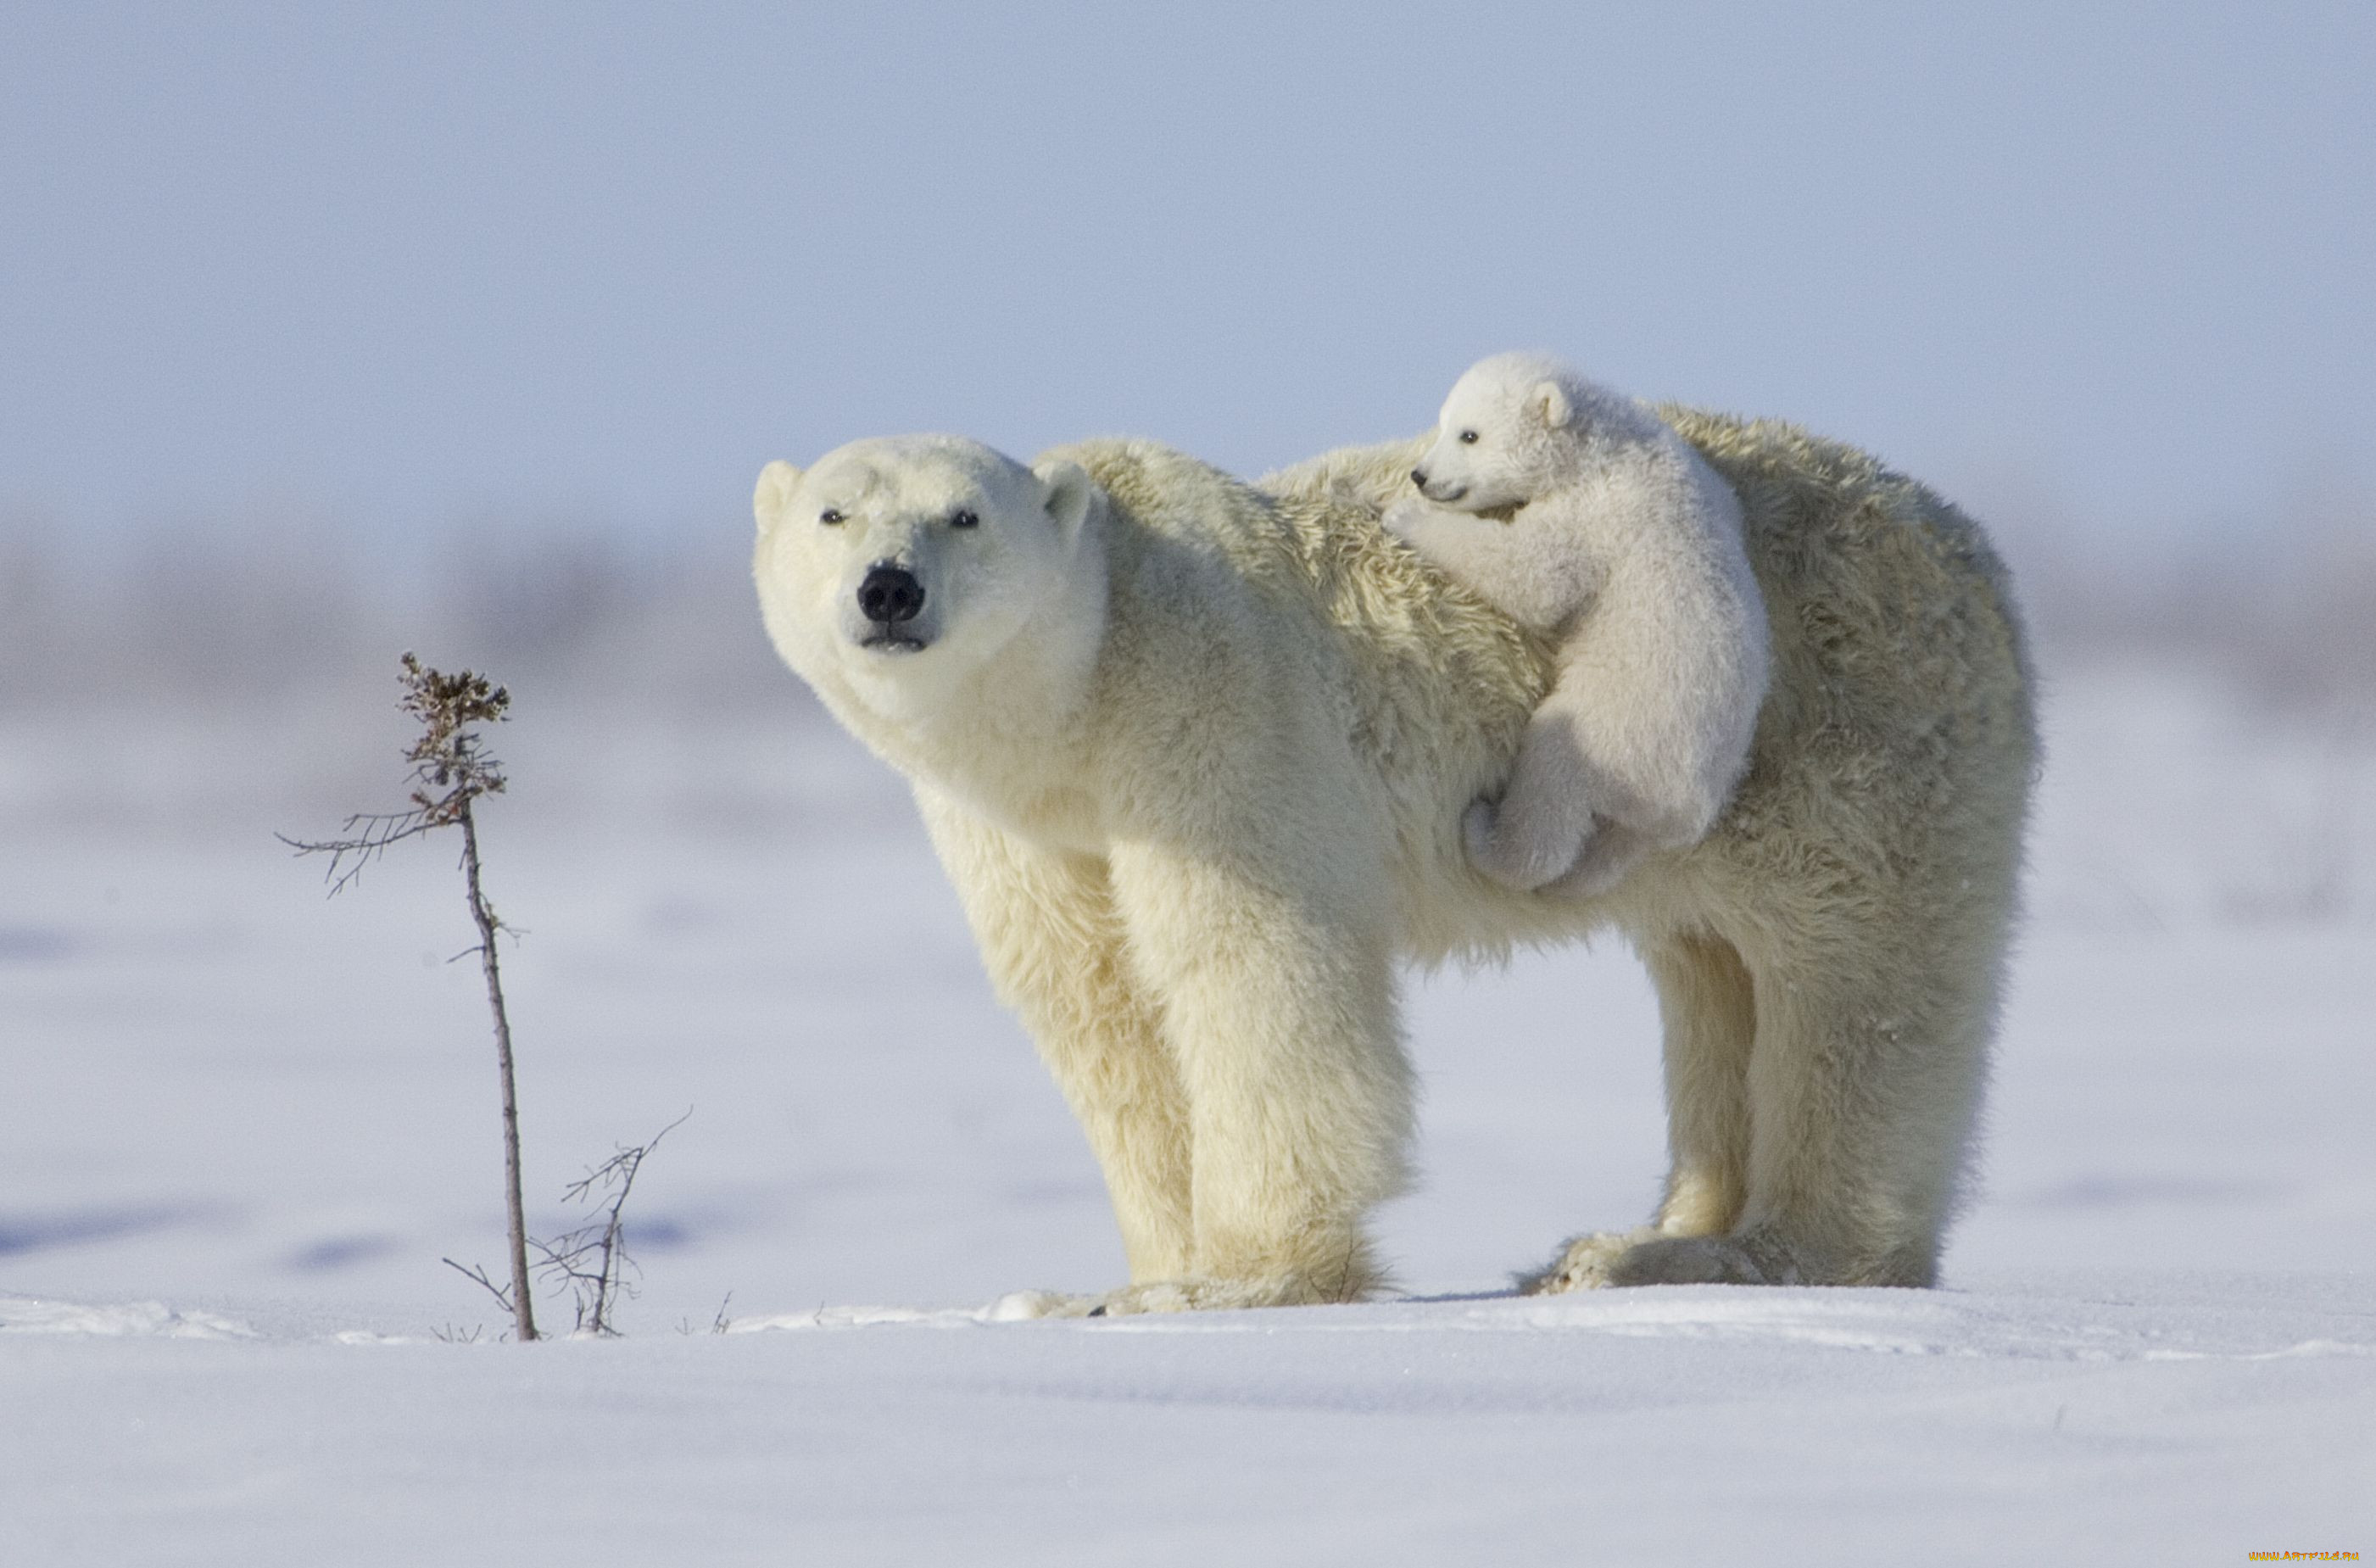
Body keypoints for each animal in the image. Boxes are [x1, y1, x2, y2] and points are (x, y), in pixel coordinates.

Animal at [750, 413, 2033, 1311]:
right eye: (832, 516)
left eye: (964, 514)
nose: (889, 589)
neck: (1086, 693)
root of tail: (1973, 548)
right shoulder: (1026, 829)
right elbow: (1101, 1010)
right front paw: (1130, 1273)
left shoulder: (1214, 710)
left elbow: (1252, 973)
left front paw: (1235, 1279)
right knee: (1712, 972)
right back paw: (1633, 1240)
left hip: (1845, 730)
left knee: (1851, 989)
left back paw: (1753, 1252)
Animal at [1387, 351, 1767, 893]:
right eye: (1443, 423)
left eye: (1469, 434)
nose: (1420, 475)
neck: (1603, 447)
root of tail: (1683, 811)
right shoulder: (1704, 477)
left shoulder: (1598, 511)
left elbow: (1536, 575)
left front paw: (1404, 517)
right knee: (1609, 852)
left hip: (1615, 732)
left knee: (1552, 780)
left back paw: (1487, 834)